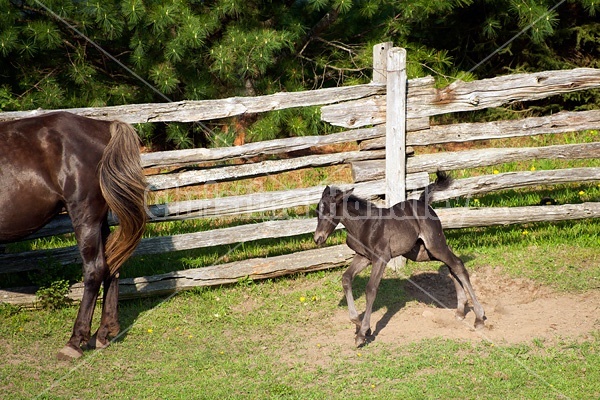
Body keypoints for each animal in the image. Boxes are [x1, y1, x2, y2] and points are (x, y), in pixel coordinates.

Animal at [0, 111, 146, 360]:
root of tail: (104, 125)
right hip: (99, 221)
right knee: (112, 265)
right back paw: (103, 333)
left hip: (85, 216)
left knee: (95, 269)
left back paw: (75, 342)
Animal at [316, 173, 486, 346]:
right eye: (317, 212)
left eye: (330, 212)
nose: (318, 238)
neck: (363, 225)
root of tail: (423, 202)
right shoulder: (363, 257)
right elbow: (346, 278)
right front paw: (359, 324)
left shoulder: (381, 258)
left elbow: (371, 289)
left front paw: (362, 333)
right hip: (422, 252)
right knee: (451, 265)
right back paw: (460, 310)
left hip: (434, 245)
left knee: (457, 264)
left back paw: (479, 317)